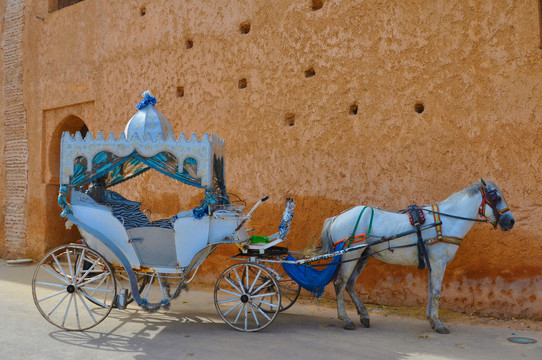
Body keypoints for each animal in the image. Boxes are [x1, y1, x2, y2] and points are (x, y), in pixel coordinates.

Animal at [320, 179, 516, 334]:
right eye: (496, 198)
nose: (511, 221)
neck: (445, 222)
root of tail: (336, 217)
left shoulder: (432, 264)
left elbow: (430, 291)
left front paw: (431, 319)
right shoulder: (438, 263)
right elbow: (436, 292)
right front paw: (438, 323)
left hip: (363, 255)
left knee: (350, 283)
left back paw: (364, 315)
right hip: (351, 254)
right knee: (340, 283)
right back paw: (346, 319)